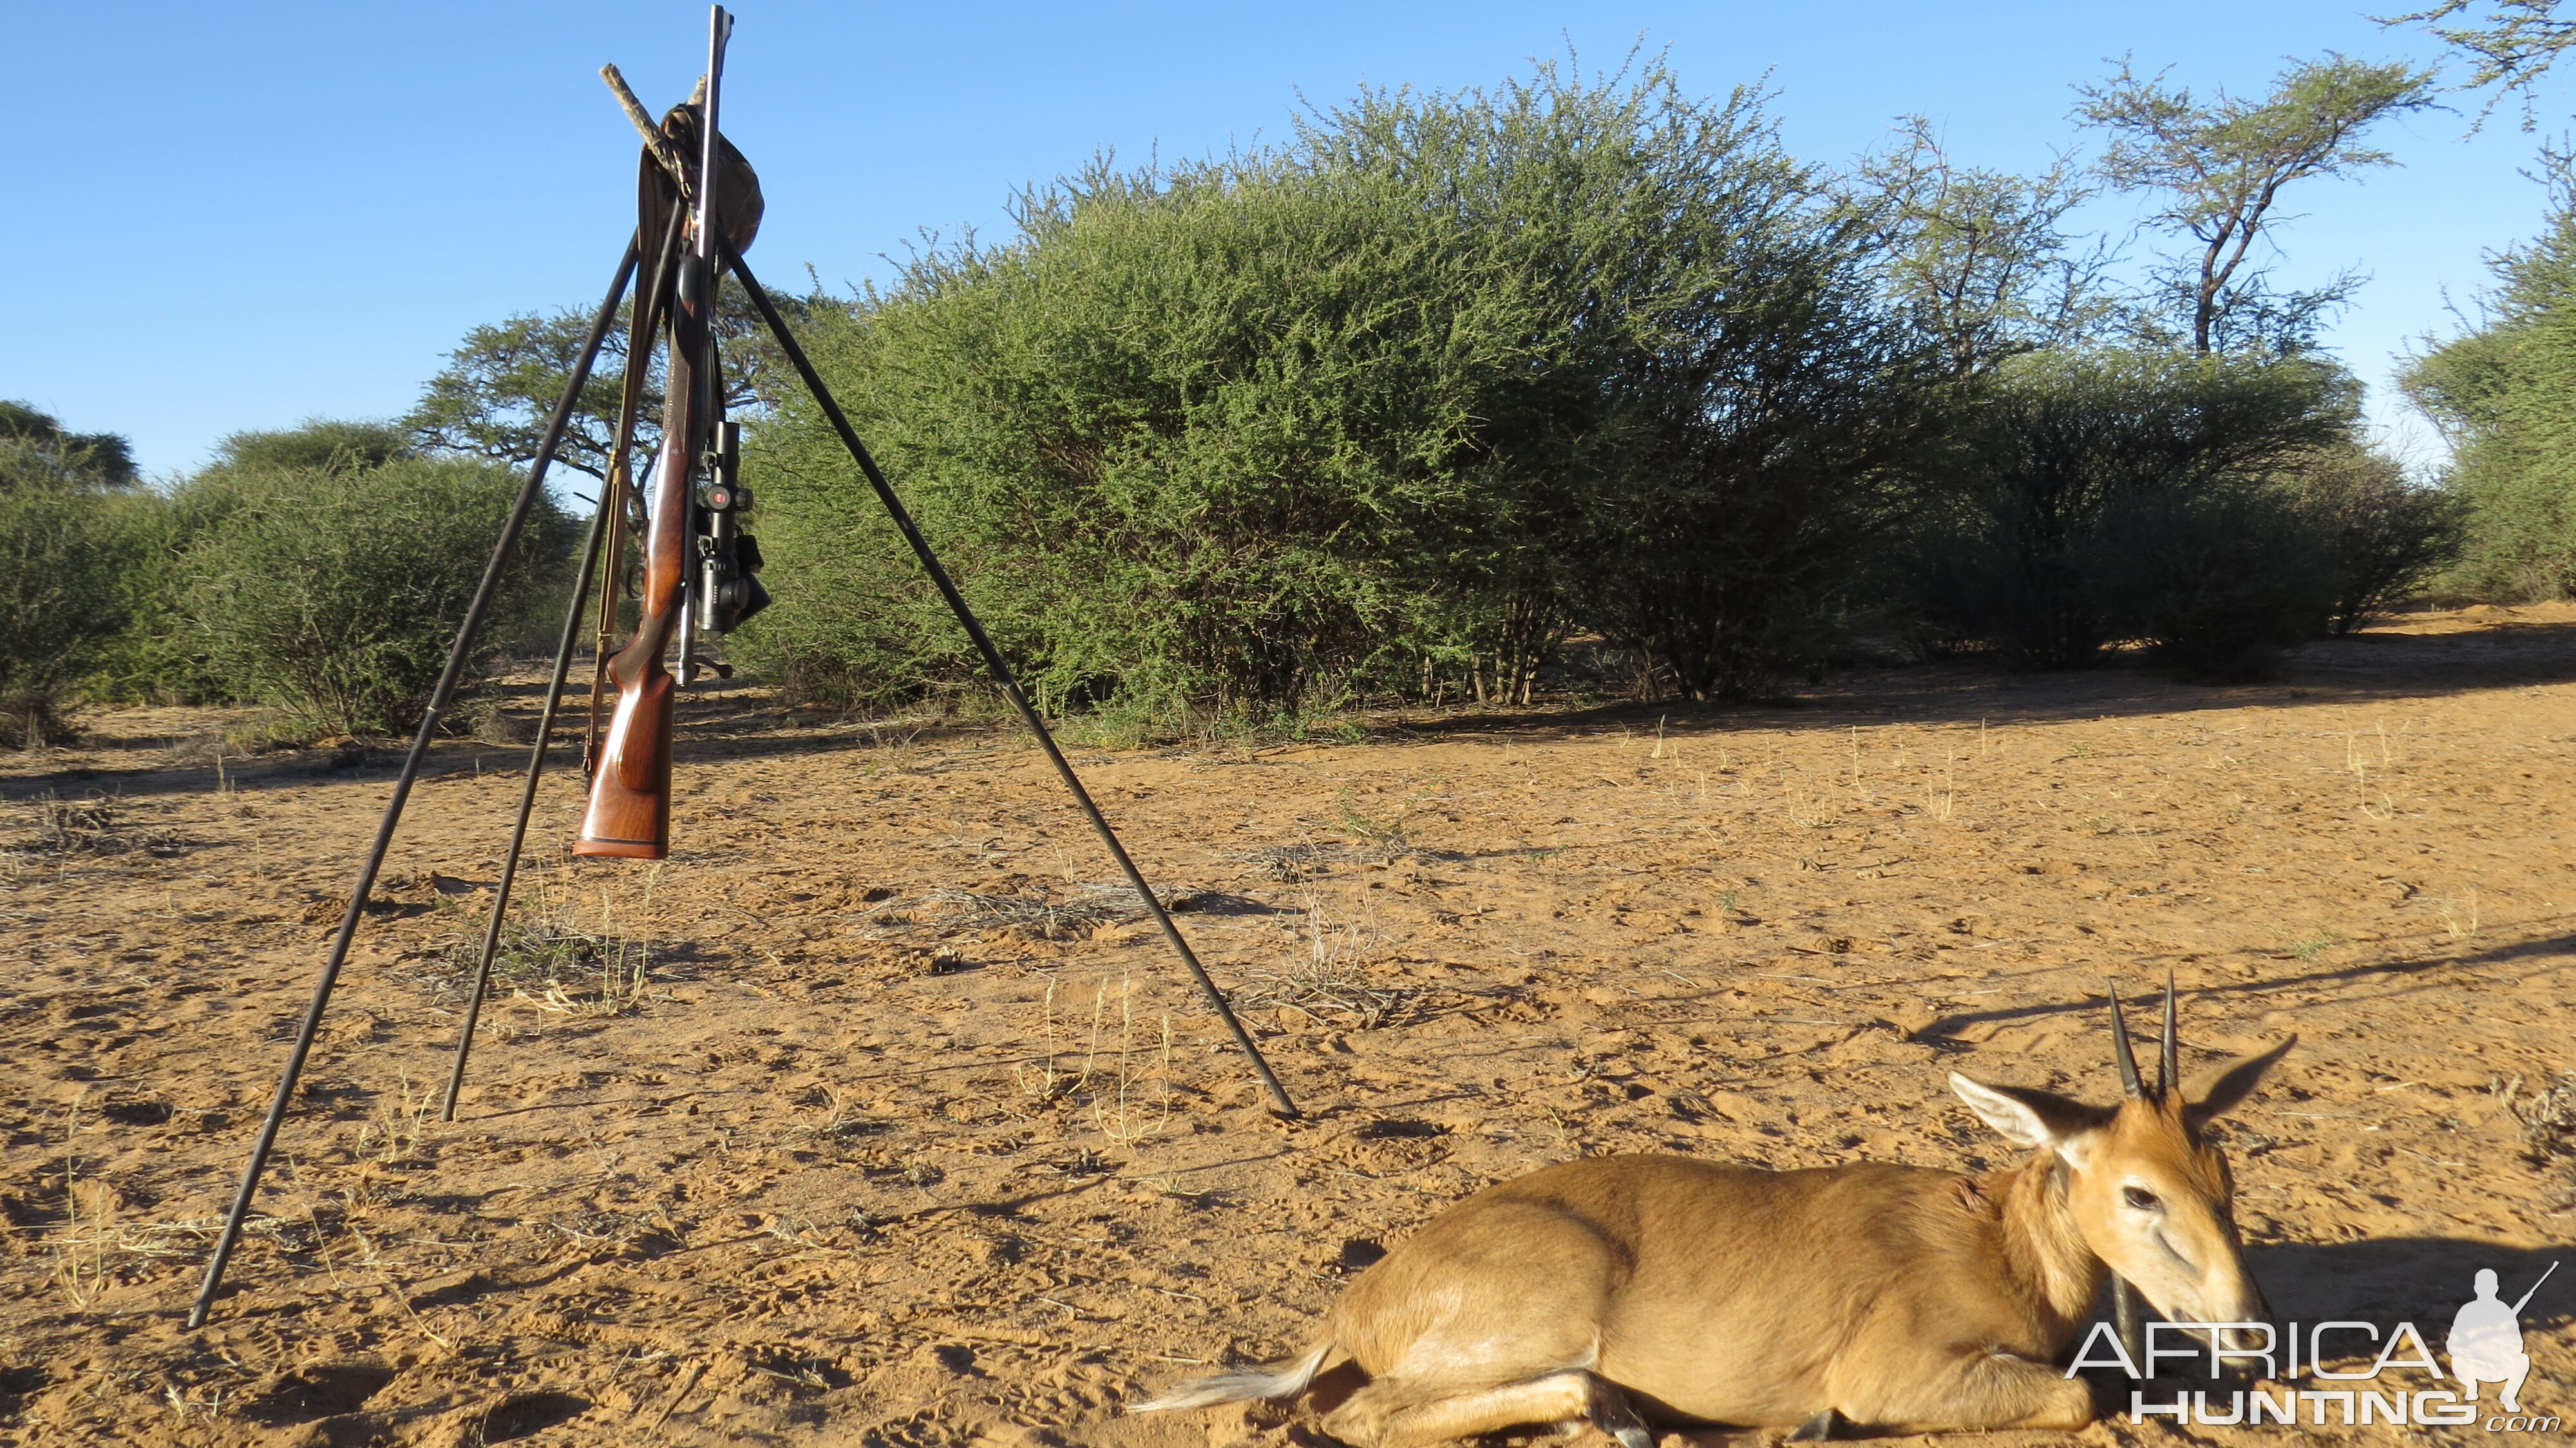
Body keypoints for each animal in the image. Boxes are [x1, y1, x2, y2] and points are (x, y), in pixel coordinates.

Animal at [1139, 974, 2287, 1433]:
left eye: (2224, 1179)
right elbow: (2084, 1397)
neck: (1994, 1238)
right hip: (1540, 1318)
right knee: (1364, 1415)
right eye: (2138, 1192)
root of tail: (1359, 1301)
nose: (2251, 1332)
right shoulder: (1899, 1373)